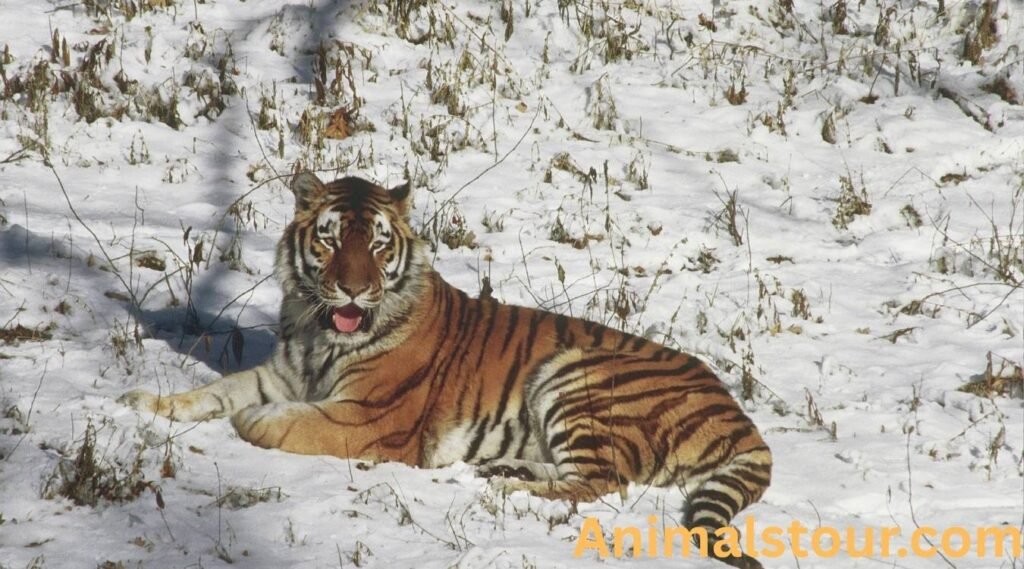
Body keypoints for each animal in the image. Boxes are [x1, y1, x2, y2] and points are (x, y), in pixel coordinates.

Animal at [120, 172, 772, 568]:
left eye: (378, 245)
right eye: (329, 241)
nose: (353, 289)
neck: (317, 329)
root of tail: (739, 415)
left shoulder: (372, 420)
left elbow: (290, 422)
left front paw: (256, 423)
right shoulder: (280, 373)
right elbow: (214, 391)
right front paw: (141, 404)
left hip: (575, 372)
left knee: (602, 481)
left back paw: (508, 487)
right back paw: (501, 469)